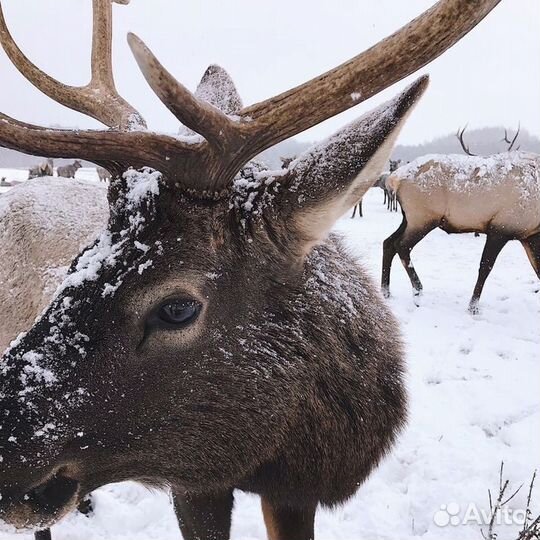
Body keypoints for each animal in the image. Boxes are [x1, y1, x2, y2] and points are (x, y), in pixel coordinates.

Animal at [382, 125, 536, 314]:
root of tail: (393, 178)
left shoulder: (529, 235)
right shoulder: (500, 229)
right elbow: (485, 267)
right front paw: (473, 307)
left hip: (408, 218)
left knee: (388, 242)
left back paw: (386, 291)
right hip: (423, 218)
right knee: (401, 245)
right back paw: (417, 291)